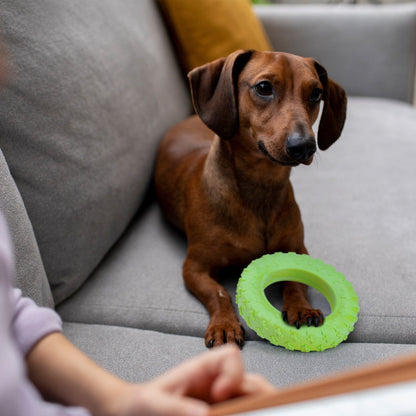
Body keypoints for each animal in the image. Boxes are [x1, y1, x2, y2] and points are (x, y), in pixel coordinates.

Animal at [154, 49, 346, 348]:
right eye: (264, 87)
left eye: (316, 93)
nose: (304, 146)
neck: (260, 188)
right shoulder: (194, 268)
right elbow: (219, 293)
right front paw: (224, 325)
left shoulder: (297, 249)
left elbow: (295, 282)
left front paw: (301, 308)